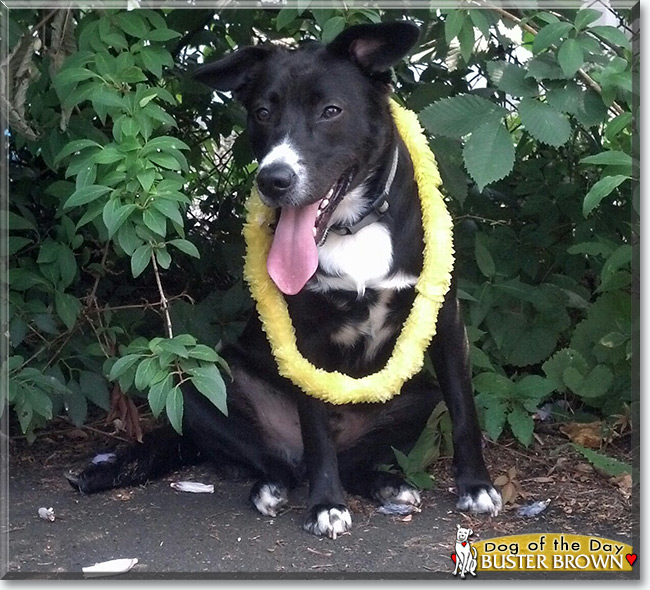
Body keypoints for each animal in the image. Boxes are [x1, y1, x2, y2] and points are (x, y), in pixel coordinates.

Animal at [67, 20, 502, 540]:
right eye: (262, 112)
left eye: (331, 111)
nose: (273, 180)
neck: (353, 226)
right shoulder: (304, 338)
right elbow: (315, 434)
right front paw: (326, 505)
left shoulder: (447, 321)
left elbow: (465, 410)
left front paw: (476, 486)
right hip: (199, 383)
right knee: (281, 462)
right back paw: (273, 486)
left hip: (416, 397)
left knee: (355, 458)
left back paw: (386, 483)